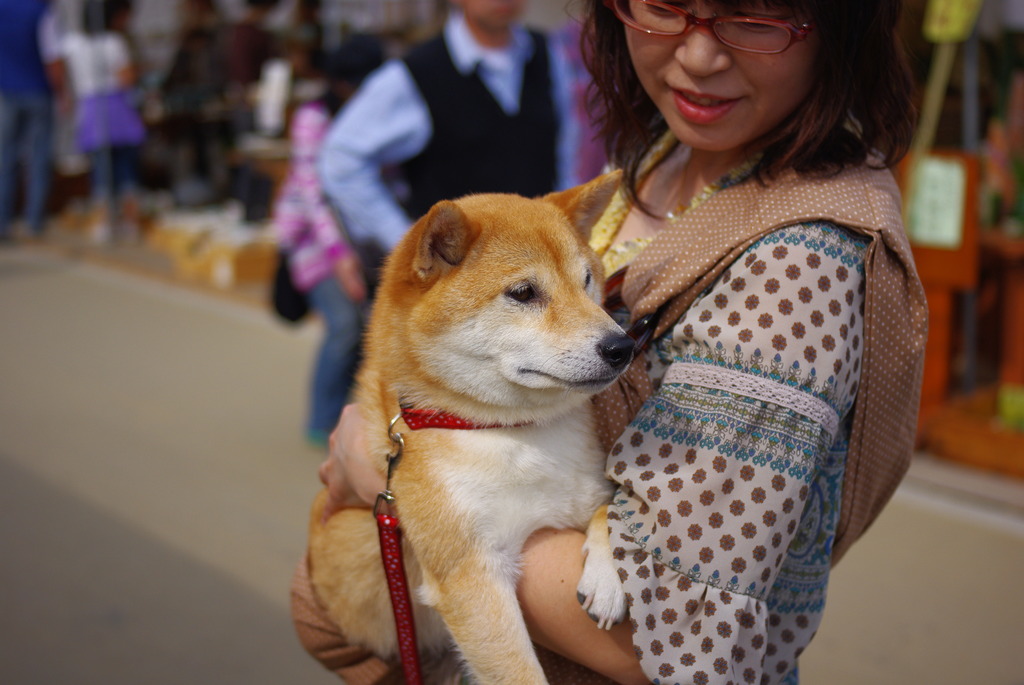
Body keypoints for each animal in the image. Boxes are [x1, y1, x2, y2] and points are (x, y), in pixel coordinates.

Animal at [305, 169, 630, 679]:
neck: (513, 433)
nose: (622, 346)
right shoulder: (469, 572)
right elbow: (520, 673)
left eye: (587, 282)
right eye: (523, 293)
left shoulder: (582, 492)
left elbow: (607, 507)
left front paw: (608, 575)